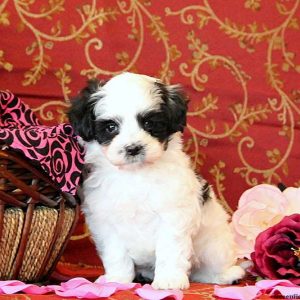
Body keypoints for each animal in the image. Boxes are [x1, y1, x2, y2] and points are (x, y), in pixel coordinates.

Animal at [69, 71, 245, 290]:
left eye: (149, 124)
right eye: (111, 127)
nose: (133, 148)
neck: (135, 174)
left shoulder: (173, 215)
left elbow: (170, 250)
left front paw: (170, 279)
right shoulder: (105, 221)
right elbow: (116, 254)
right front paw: (117, 279)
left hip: (214, 244)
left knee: (210, 265)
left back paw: (227, 275)